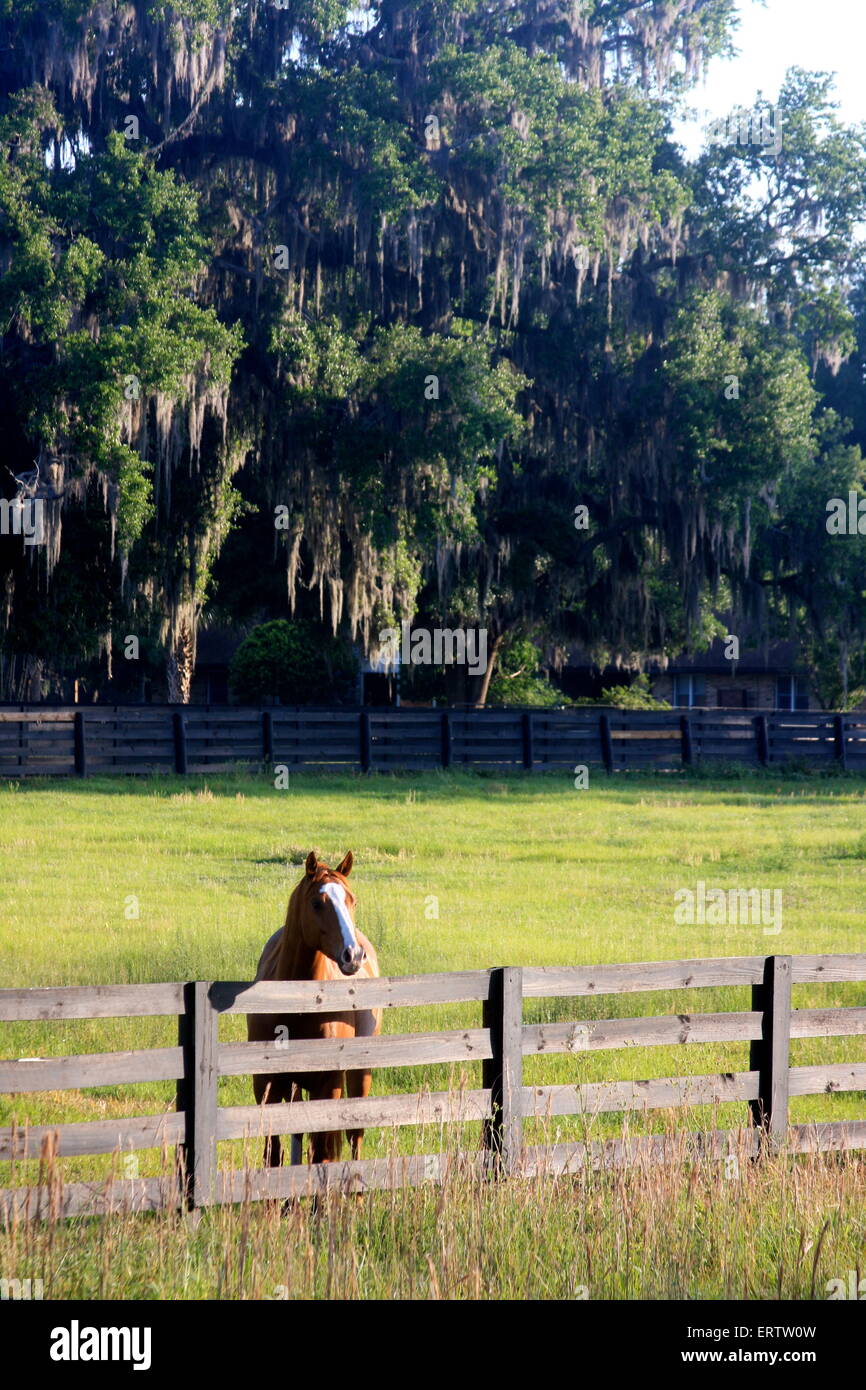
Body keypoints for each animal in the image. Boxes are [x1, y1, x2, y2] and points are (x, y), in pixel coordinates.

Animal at [244, 850, 378, 1167]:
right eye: (317, 903)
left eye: (352, 900)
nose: (353, 955)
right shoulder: (266, 1087)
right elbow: (274, 1154)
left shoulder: (326, 1086)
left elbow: (321, 1154)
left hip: (359, 1074)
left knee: (354, 1137)